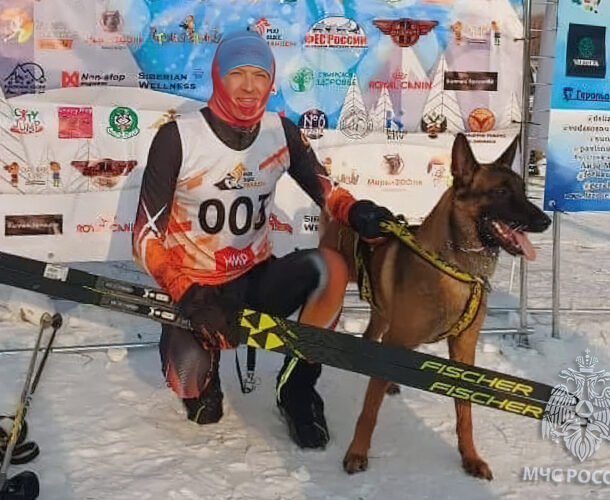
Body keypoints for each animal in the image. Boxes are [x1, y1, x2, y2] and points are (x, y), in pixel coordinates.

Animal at [320, 134, 548, 480]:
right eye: (501, 192)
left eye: (523, 190)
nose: (545, 220)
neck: (455, 267)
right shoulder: (399, 339)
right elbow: (369, 411)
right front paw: (357, 452)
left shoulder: (464, 347)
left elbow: (465, 412)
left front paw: (470, 457)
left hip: (383, 314)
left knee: (374, 338)